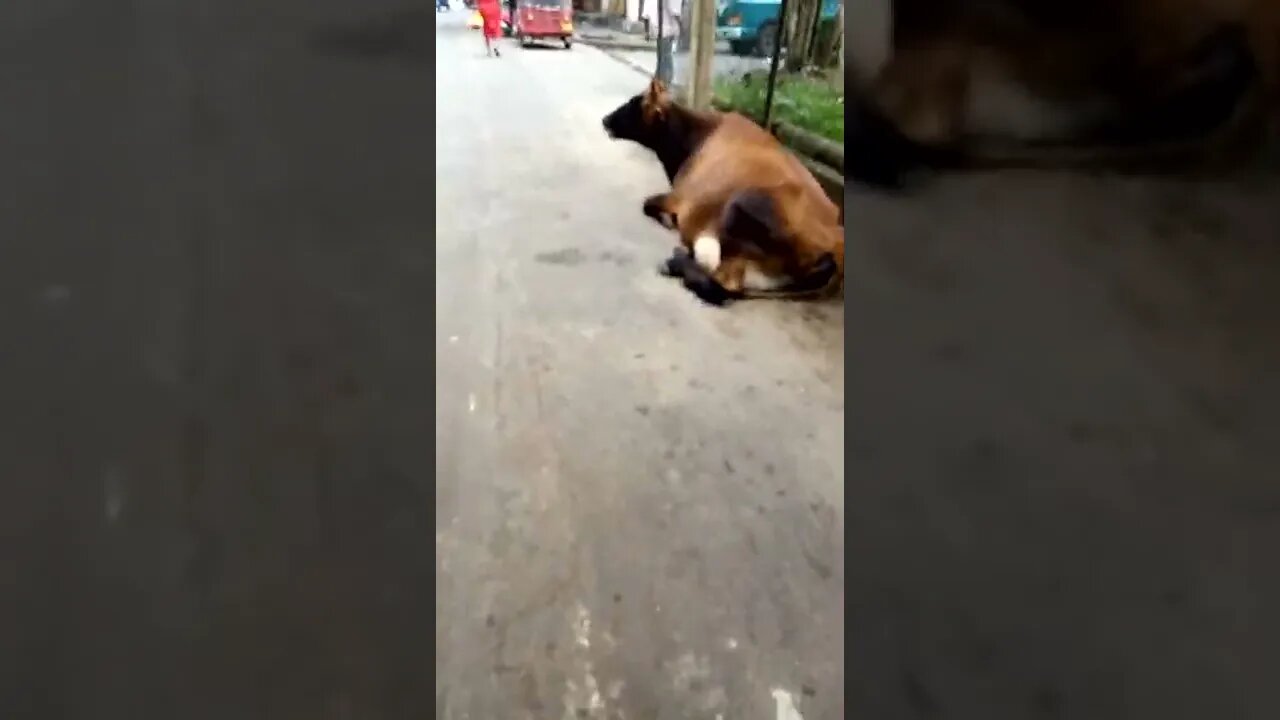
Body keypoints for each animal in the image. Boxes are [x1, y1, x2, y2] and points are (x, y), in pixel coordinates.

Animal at [604, 78, 844, 304]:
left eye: (635, 102)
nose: (605, 120)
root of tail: (835, 244)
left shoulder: (679, 198)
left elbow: (647, 204)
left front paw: (667, 220)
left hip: (742, 208)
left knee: (723, 287)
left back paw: (675, 261)